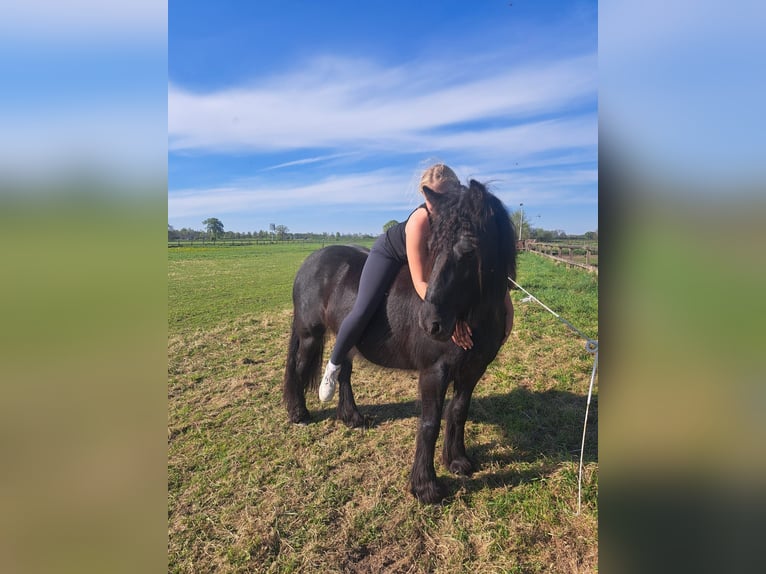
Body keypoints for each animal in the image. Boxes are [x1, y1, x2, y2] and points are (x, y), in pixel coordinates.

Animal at [282, 179, 517, 503]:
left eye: (469, 250)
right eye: (430, 249)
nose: (432, 323)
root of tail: (310, 262)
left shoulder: (473, 370)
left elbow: (458, 412)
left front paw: (458, 461)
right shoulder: (434, 372)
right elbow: (429, 423)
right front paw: (426, 487)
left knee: (343, 373)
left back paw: (352, 418)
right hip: (309, 334)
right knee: (298, 366)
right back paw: (299, 413)